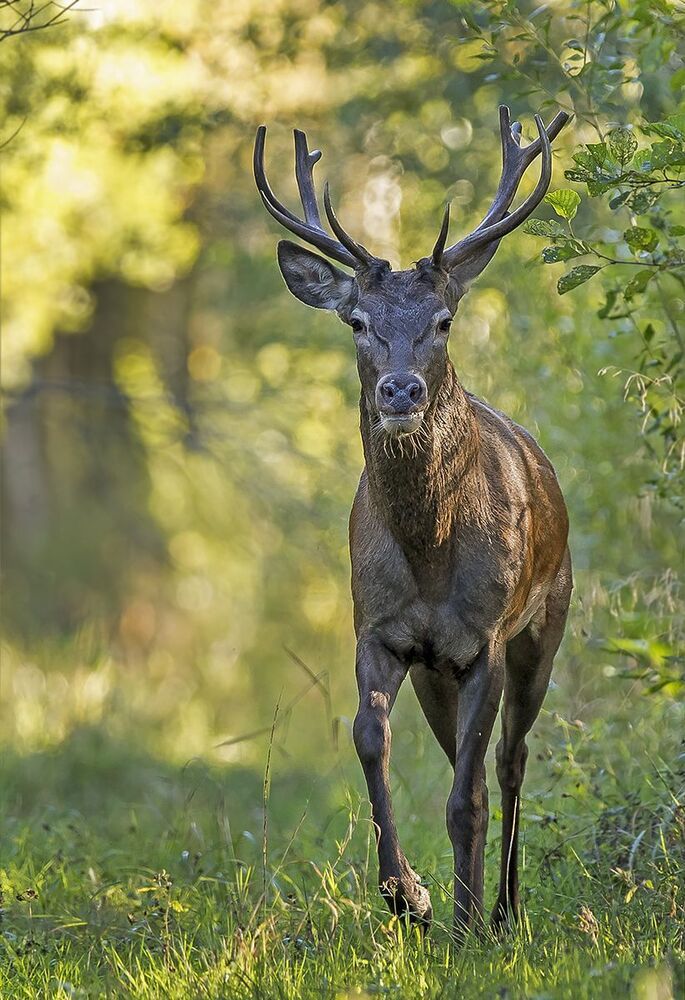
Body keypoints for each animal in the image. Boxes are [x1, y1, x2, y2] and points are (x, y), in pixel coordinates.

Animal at [253, 105, 573, 940]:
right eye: (356, 321)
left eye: (443, 319)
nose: (399, 390)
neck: (429, 557)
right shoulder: (380, 627)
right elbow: (369, 740)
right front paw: (408, 895)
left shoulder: (483, 636)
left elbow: (467, 795)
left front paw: (461, 923)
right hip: (436, 672)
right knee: (474, 757)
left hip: (544, 620)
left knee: (508, 762)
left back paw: (502, 909)